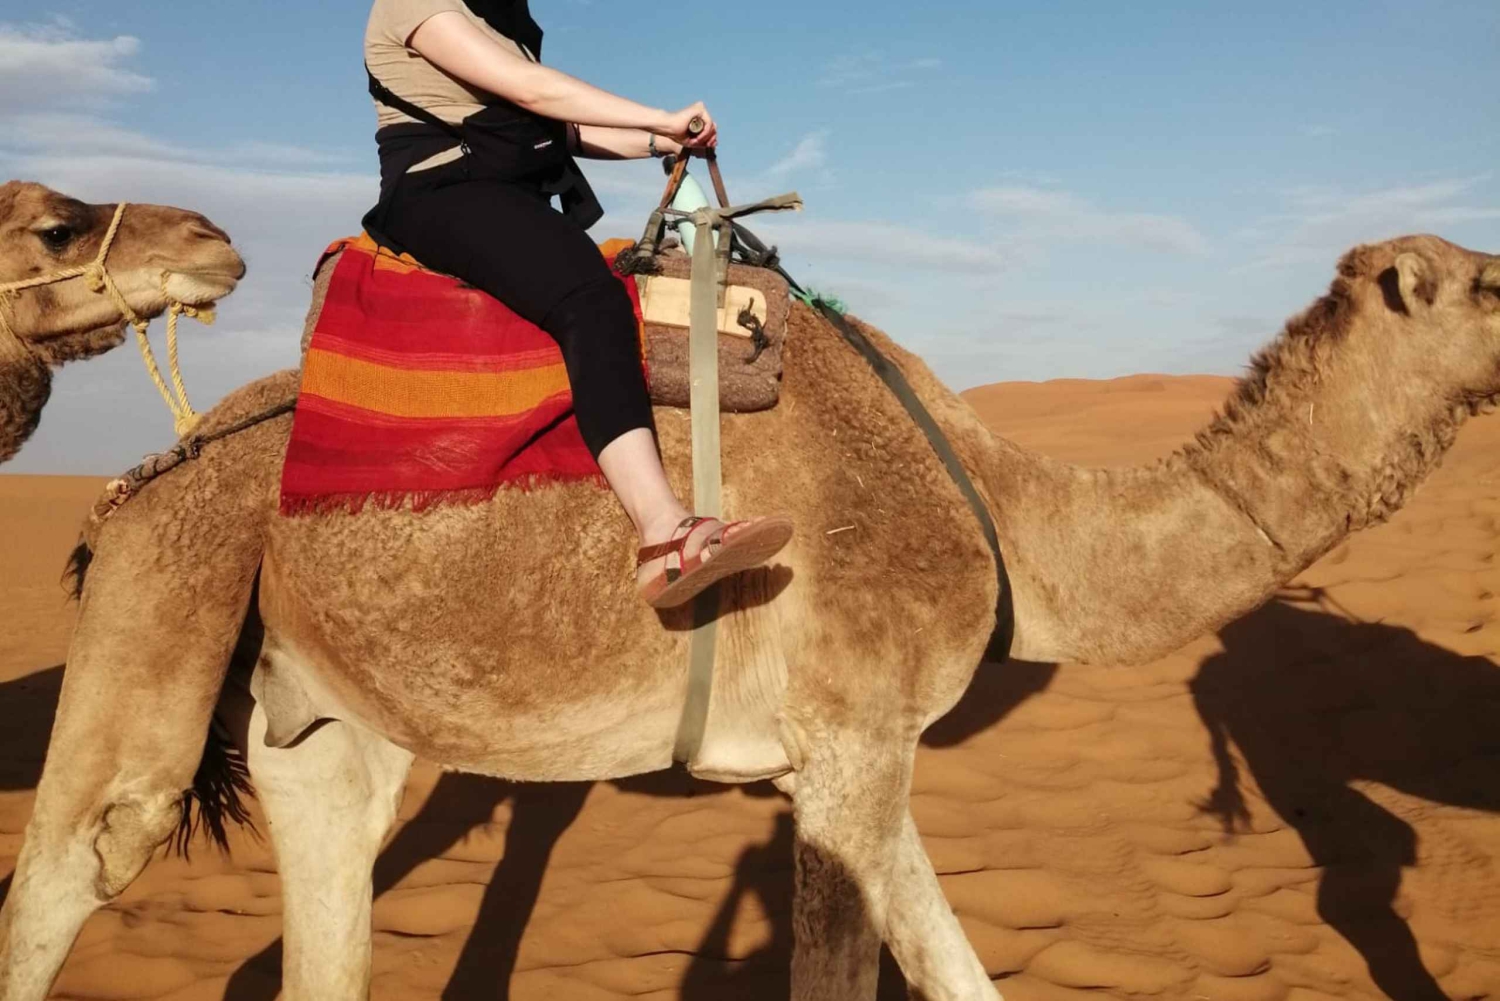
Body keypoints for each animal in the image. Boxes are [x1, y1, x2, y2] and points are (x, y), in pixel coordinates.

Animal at [1, 233, 1498, 1001]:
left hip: (321, 710)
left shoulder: (840, 761)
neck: (1009, 511)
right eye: (1483, 280)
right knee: (67, 870)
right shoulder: (853, 744)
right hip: (166, 588)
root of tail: (138, 476)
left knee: (332, 871)